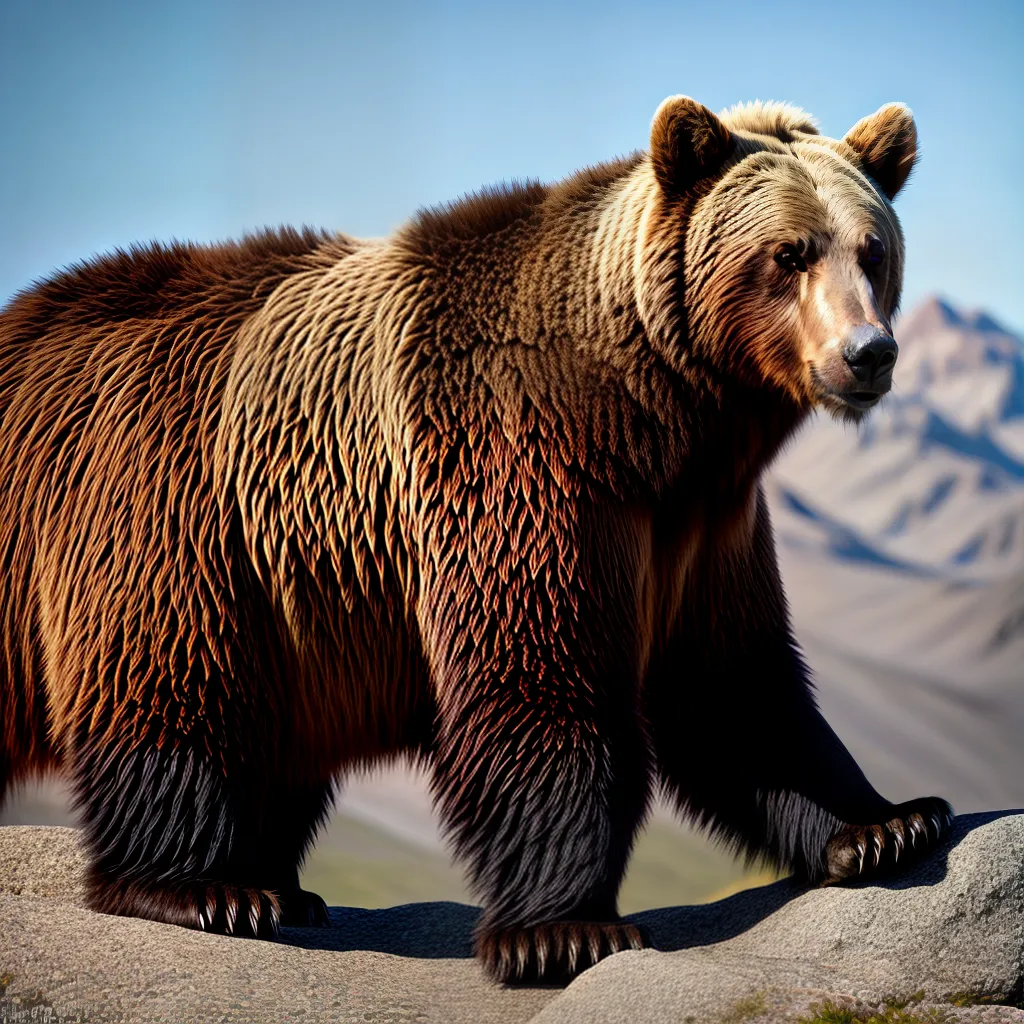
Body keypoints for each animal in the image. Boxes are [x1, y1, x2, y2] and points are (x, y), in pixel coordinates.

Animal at [0, 95, 952, 983]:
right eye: (789, 253)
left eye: (872, 249)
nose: (868, 353)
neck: (658, 417)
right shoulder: (522, 465)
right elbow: (541, 678)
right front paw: (566, 929)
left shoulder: (702, 527)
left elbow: (737, 683)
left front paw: (888, 823)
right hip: (170, 509)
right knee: (173, 686)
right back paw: (210, 887)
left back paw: (273, 881)